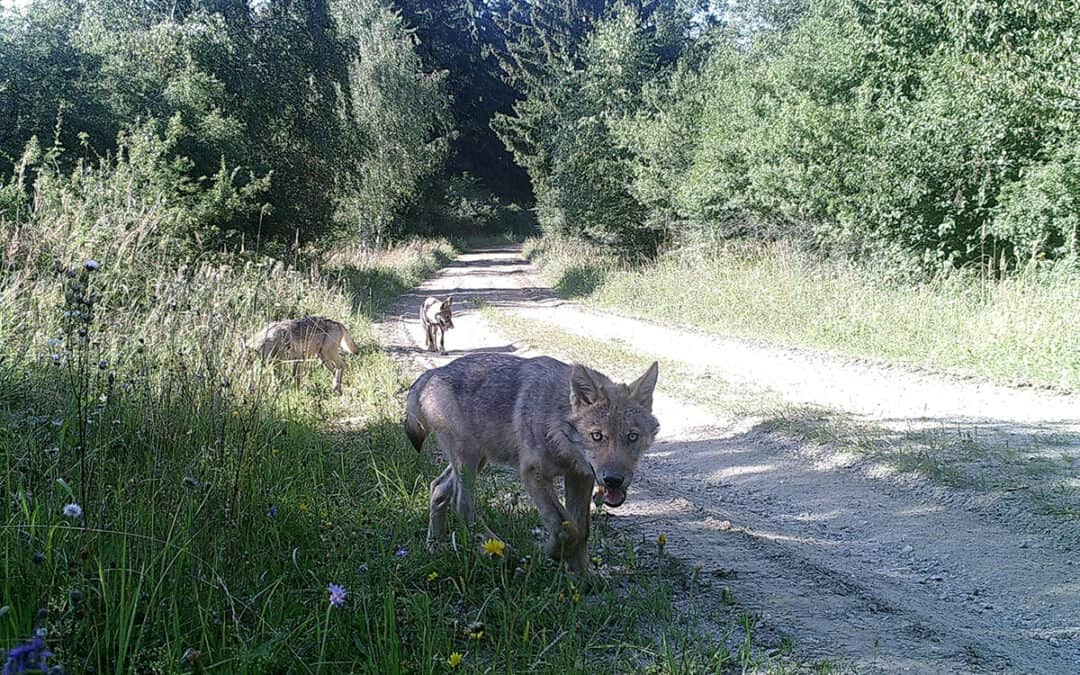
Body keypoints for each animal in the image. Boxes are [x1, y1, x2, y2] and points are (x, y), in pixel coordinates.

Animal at [406, 349, 656, 574]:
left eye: (632, 436)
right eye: (597, 436)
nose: (613, 480)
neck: (556, 427)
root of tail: (432, 372)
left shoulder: (581, 477)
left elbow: (581, 530)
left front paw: (584, 580)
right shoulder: (533, 473)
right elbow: (566, 529)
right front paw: (553, 551)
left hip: (477, 460)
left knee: (438, 487)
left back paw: (435, 546)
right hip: (468, 460)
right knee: (463, 505)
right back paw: (505, 552)